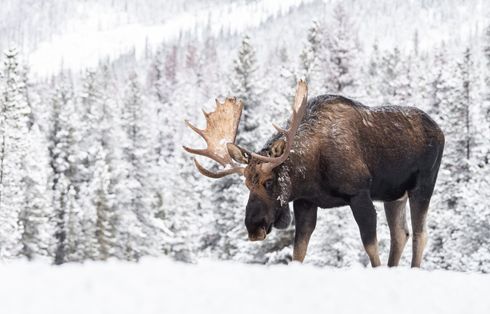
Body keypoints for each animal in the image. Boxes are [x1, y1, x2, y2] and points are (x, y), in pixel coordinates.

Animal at [183, 81, 444, 268]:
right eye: (247, 183)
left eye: (269, 181)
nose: (254, 227)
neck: (311, 173)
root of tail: (440, 131)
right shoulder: (305, 202)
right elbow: (298, 252)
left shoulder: (359, 193)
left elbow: (371, 247)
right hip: (393, 195)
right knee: (401, 234)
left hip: (423, 185)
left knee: (420, 234)